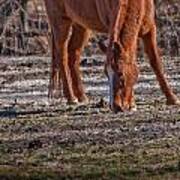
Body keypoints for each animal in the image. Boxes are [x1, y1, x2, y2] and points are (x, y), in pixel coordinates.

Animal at [43, 0, 179, 112]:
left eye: (121, 74)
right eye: (107, 75)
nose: (115, 107)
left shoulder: (149, 30)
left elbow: (156, 63)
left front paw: (172, 99)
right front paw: (132, 104)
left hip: (81, 25)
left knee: (73, 54)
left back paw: (81, 96)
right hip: (60, 22)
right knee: (62, 56)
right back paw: (71, 98)